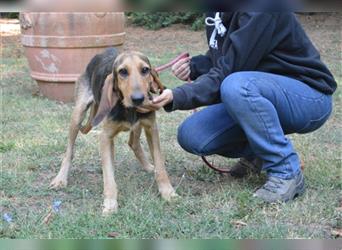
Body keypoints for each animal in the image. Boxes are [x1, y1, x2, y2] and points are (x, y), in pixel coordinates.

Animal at [50, 48, 179, 215]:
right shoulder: (105, 137)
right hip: (77, 115)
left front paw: (168, 192)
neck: (128, 109)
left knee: (133, 143)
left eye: (145, 70)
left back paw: (148, 166)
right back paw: (60, 179)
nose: (138, 99)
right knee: (69, 151)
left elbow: (161, 166)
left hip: (138, 125)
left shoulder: (151, 128)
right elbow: (109, 177)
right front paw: (110, 203)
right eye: (122, 71)